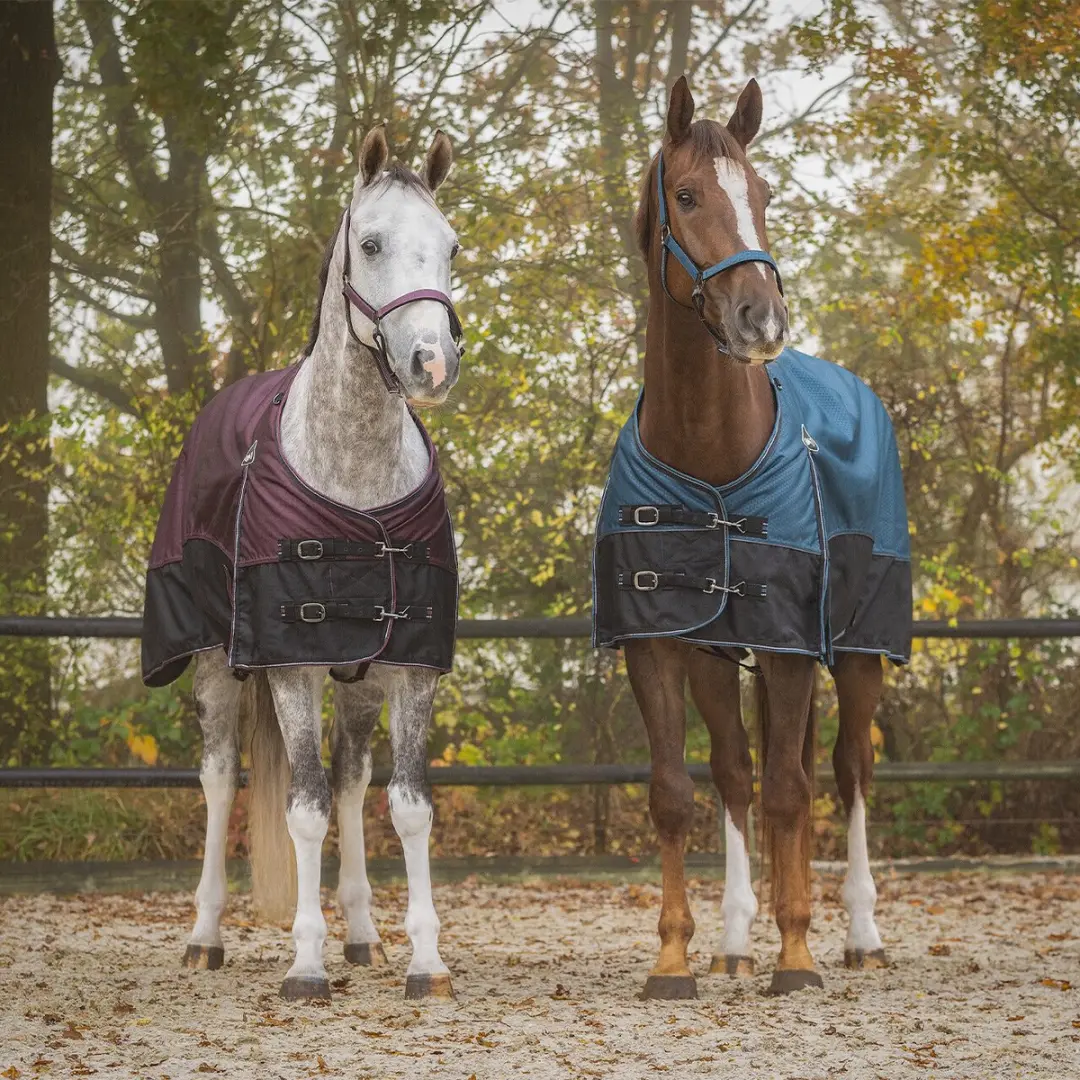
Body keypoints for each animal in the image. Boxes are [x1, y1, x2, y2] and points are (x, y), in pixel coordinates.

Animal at [140, 125, 464, 1002]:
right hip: (218, 665)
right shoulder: (290, 663)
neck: (355, 477)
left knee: (352, 780)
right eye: (371, 242)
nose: (431, 363)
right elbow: (305, 807)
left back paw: (360, 934)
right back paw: (206, 936)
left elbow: (406, 805)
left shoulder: (409, 664)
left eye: (451, 245)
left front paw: (423, 960)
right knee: (221, 781)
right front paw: (306, 965)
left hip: (356, 681)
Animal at [592, 77, 912, 997]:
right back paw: (736, 940)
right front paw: (674, 959)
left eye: (764, 194)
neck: (708, 450)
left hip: (859, 653)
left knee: (844, 771)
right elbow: (679, 792)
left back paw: (859, 936)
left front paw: (798, 957)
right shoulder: (658, 643)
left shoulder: (788, 647)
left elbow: (791, 793)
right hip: (716, 655)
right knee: (738, 772)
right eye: (688, 195)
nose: (759, 318)